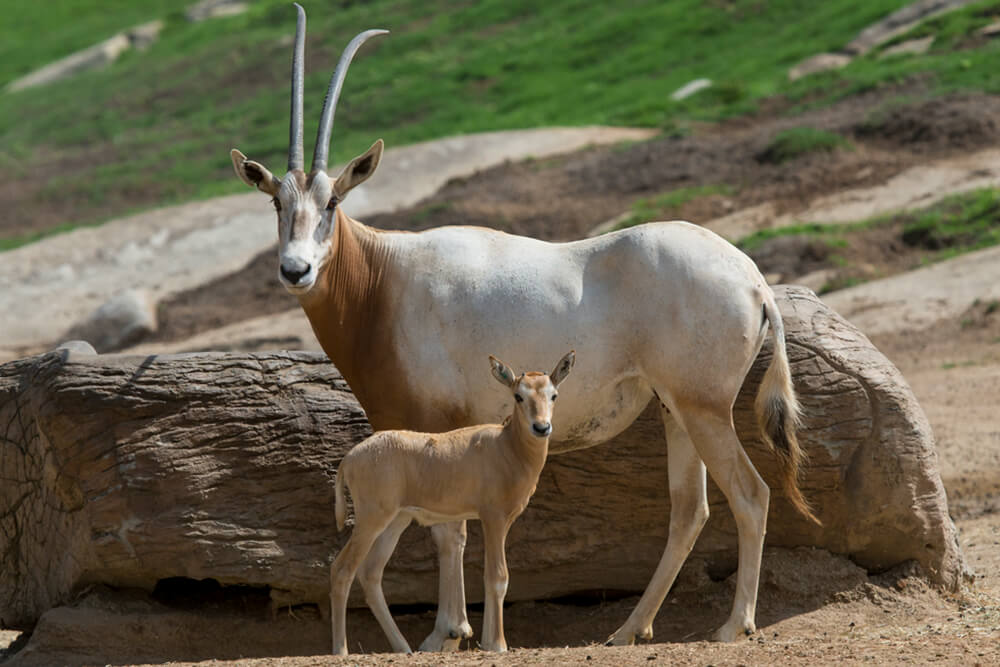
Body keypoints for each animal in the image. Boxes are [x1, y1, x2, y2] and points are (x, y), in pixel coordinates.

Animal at [332, 352, 576, 656]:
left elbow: (490, 576)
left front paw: (488, 642)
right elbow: (497, 576)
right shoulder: (493, 519)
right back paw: (341, 650)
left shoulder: (497, 521)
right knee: (342, 570)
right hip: (371, 520)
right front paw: (498, 645)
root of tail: (350, 458)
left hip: (396, 521)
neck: (506, 446)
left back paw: (404, 647)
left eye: (553, 395)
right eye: (518, 396)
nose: (541, 427)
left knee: (370, 573)